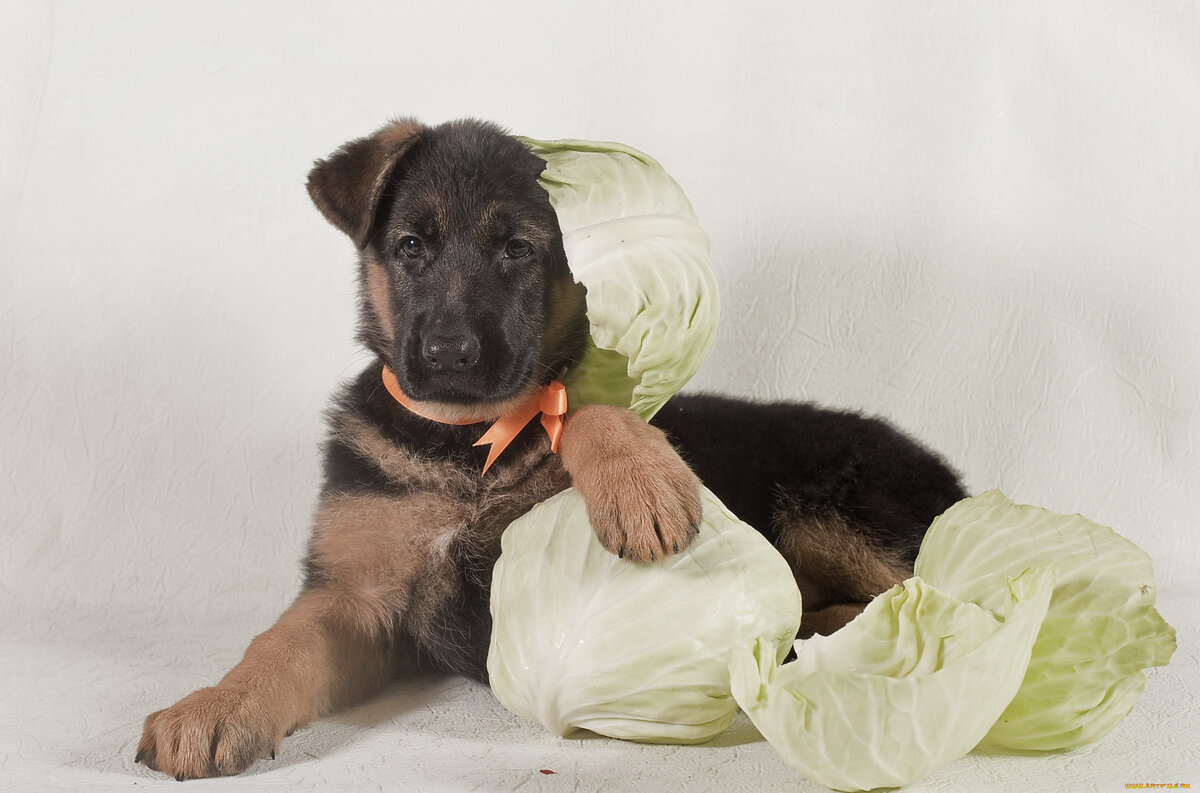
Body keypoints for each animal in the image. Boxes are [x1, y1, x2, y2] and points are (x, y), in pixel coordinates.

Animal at [136, 118, 966, 780]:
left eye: (517, 250)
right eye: (412, 246)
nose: (448, 354)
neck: (464, 444)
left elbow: (583, 398)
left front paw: (638, 480)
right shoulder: (352, 596)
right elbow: (276, 646)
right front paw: (212, 706)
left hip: (833, 510)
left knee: (951, 597)